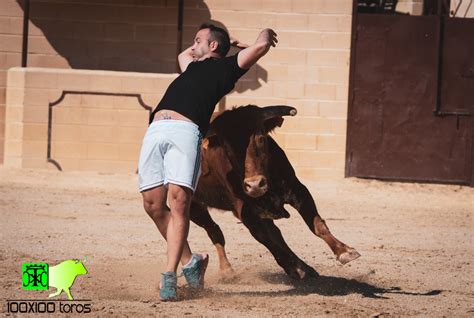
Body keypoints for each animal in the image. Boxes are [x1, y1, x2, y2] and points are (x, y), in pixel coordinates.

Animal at [189, 104, 360, 278]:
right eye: (227, 147)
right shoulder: (245, 212)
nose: (255, 185)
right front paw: (296, 268)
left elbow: (316, 224)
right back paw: (227, 270)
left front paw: (344, 251)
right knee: (215, 231)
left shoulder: (298, 190)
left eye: (261, 138)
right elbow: (268, 239)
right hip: (192, 207)